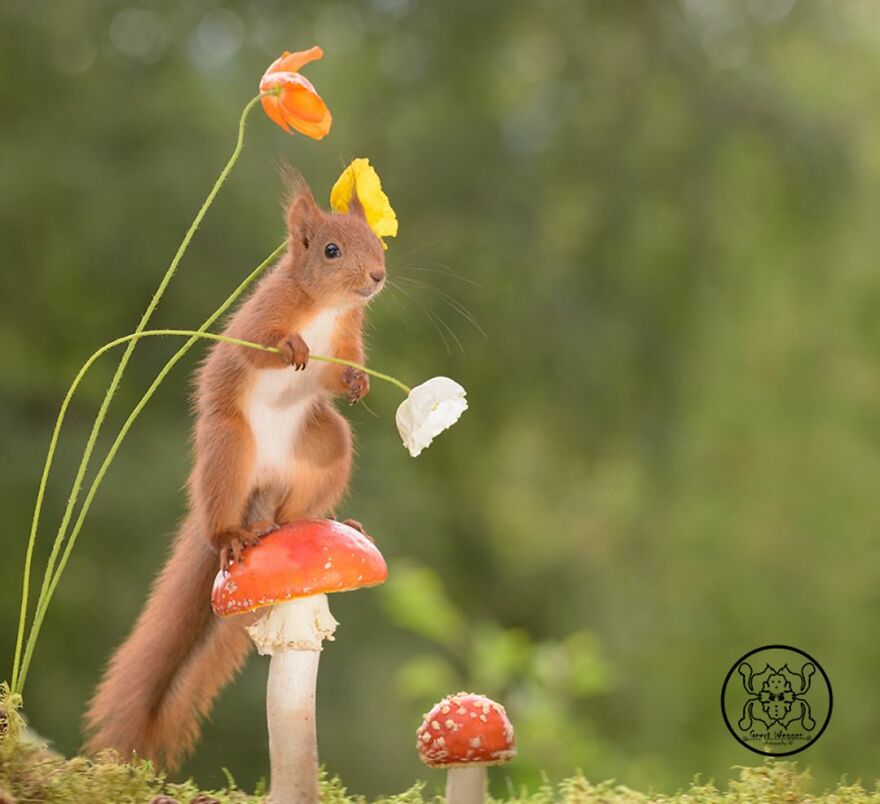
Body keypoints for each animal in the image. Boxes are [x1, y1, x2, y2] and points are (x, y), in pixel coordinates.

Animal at [84, 175, 386, 769]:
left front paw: (358, 383)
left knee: (298, 505)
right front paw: (291, 347)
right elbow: (260, 348)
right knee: (221, 508)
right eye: (330, 250)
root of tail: (261, 495)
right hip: (228, 449)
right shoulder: (260, 316)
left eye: (377, 242)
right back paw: (229, 537)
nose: (377, 277)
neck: (326, 308)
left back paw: (324, 521)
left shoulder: (346, 338)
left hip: (324, 445)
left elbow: (338, 371)